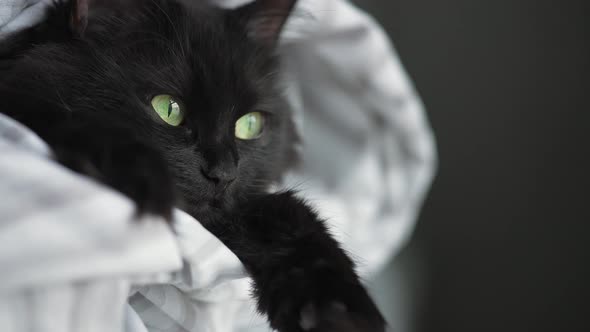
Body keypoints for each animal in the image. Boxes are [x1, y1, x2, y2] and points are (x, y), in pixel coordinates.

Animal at [0, 1, 388, 330]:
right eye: (168, 109)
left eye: (250, 125)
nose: (224, 172)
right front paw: (139, 180)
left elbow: (291, 213)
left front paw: (337, 312)